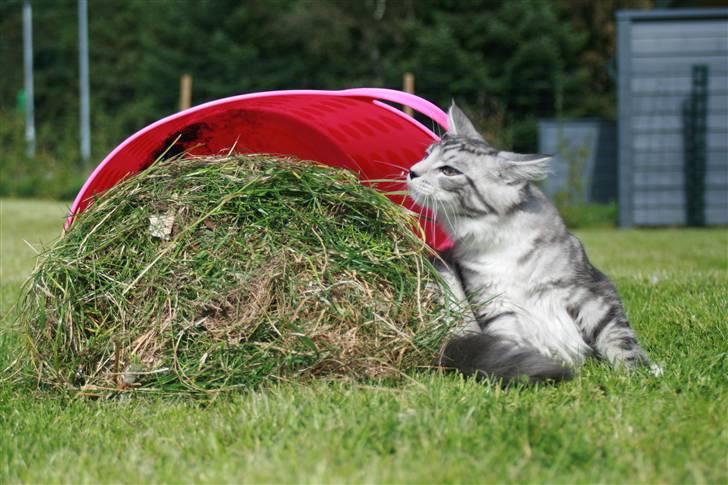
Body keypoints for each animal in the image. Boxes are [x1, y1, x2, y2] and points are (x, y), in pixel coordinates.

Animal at [406, 104, 656, 384]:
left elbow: (617, 337)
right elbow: (512, 344)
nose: (412, 171)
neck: (497, 236)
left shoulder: (591, 288)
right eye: (427, 155)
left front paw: (636, 374)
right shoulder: (495, 304)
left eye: (449, 171)